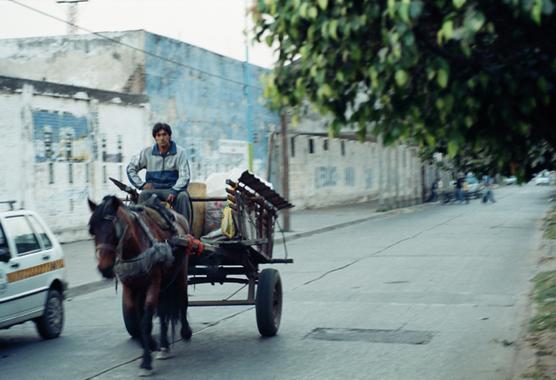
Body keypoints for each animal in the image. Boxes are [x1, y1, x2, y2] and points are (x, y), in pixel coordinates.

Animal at [87, 196, 200, 378]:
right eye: (92, 230)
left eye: (113, 230)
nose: (104, 269)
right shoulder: (130, 287)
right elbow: (139, 320)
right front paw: (152, 344)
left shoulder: (153, 284)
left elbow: (146, 322)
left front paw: (146, 362)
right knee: (163, 312)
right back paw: (164, 346)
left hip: (180, 273)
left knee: (182, 300)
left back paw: (185, 331)